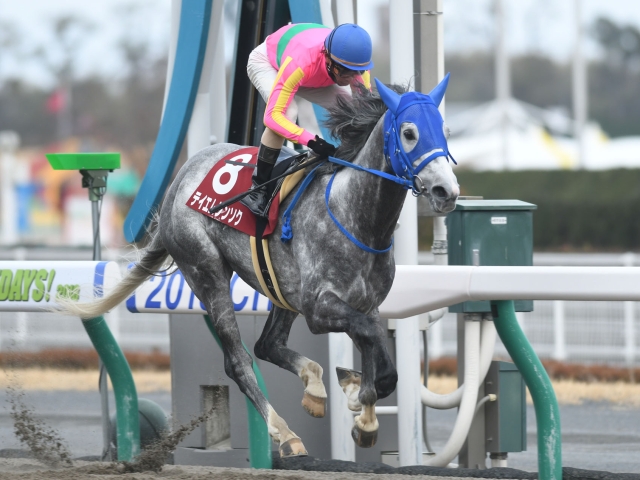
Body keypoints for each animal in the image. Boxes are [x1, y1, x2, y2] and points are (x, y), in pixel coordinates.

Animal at [61, 78, 460, 458]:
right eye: (409, 132)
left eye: (444, 128)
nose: (447, 191)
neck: (356, 217)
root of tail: (178, 183)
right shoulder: (319, 308)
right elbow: (377, 351)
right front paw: (361, 411)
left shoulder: (366, 303)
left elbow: (376, 350)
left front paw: (357, 399)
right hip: (206, 271)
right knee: (238, 361)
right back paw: (286, 435)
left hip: (282, 290)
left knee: (267, 344)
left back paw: (315, 388)